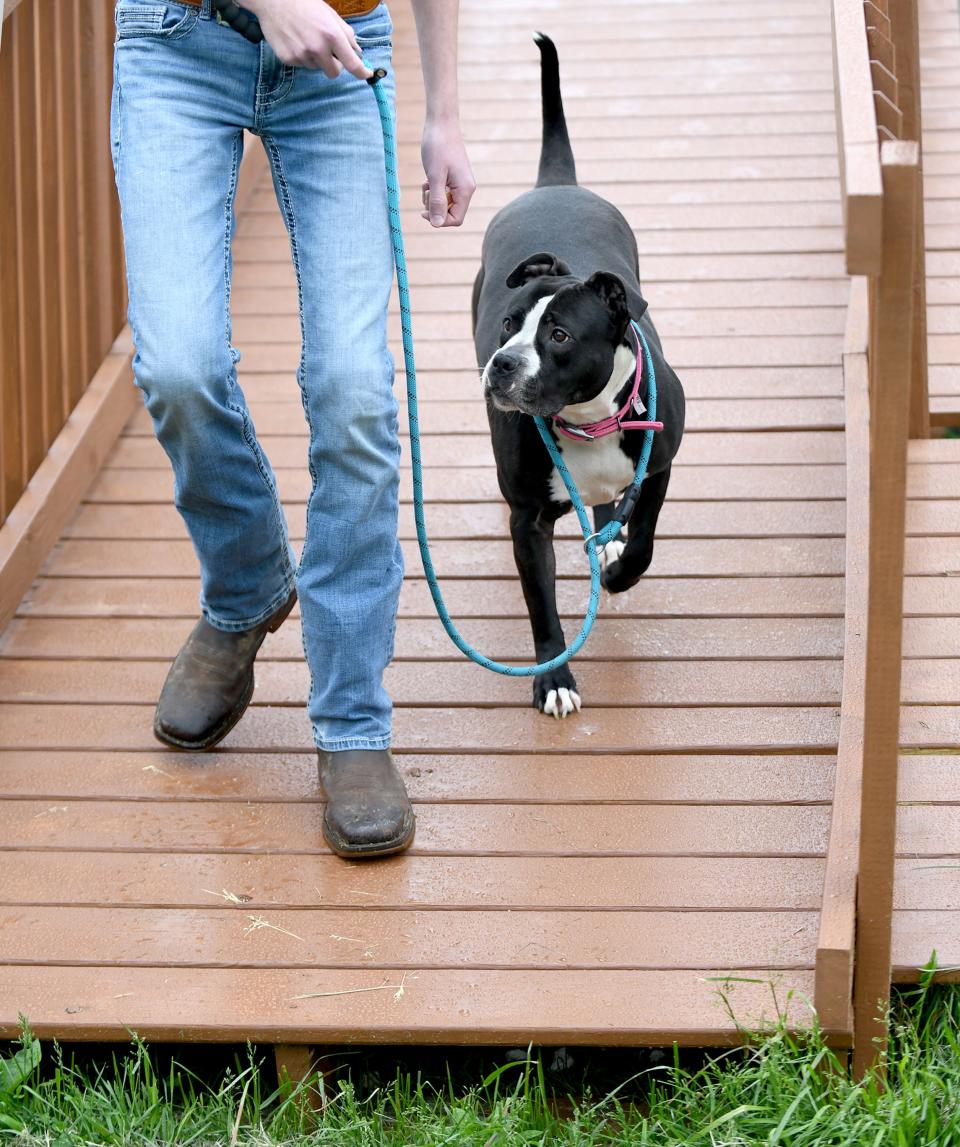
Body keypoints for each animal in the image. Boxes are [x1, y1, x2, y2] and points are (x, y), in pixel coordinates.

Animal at [470, 33, 683, 715]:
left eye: (559, 335)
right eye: (508, 324)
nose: (502, 364)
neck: (587, 421)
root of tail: (554, 184)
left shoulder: (658, 464)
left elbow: (643, 539)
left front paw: (617, 571)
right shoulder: (529, 521)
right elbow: (542, 607)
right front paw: (554, 678)